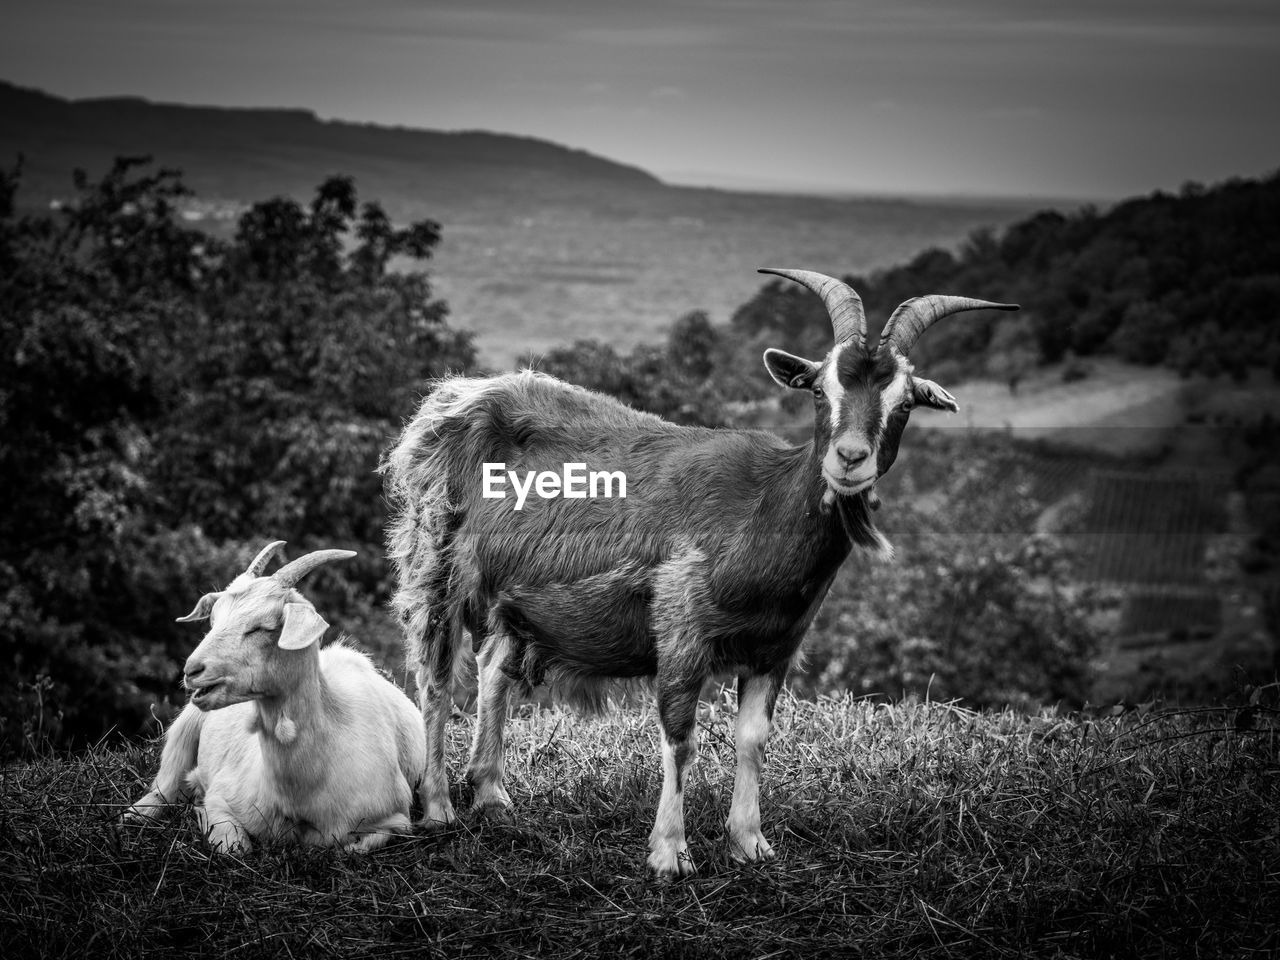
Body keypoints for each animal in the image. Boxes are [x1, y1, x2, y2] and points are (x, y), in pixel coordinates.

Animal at [124, 545, 424, 855]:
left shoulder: (395, 818)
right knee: (166, 782)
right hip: (186, 726)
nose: (192, 670)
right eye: (214, 620)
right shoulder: (223, 795)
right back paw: (137, 814)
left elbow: (359, 846)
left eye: (261, 626)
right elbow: (235, 846)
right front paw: (199, 807)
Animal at [378, 268, 1008, 880]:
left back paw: (491, 794)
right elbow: (680, 738)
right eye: (820, 389)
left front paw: (750, 843)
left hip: (515, 596)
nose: (850, 459)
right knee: (435, 677)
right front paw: (669, 854)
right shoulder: (682, 625)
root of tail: (454, 397)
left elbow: (753, 740)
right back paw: (440, 806)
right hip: (435, 558)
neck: (763, 511)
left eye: (903, 403)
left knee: (493, 666)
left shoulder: (777, 646)